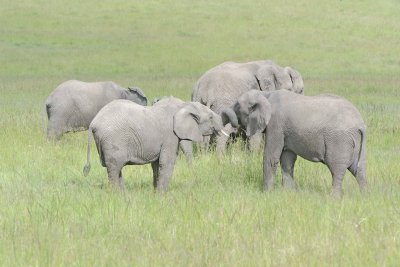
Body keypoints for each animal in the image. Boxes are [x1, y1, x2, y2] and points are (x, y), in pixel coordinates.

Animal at [82, 97, 223, 192]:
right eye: (211, 117)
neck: (184, 105)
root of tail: (94, 122)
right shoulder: (169, 136)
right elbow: (167, 162)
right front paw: (162, 196)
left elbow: (156, 164)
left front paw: (155, 193)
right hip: (113, 140)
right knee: (114, 168)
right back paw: (118, 196)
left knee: (115, 168)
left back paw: (124, 195)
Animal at [220, 90, 368, 197]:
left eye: (237, 106)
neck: (265, 94)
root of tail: (360, 123)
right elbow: (287, 160)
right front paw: (288, 193)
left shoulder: (276, 125)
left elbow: (271, 158)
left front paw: (266, 194)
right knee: (358, 169)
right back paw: (365, 197)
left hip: (339, 140)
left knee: (336, 169)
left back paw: (334, 198)